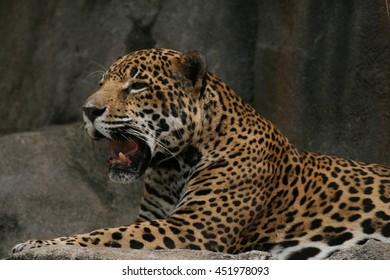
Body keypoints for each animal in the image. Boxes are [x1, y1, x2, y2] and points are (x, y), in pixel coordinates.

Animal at [10, 48, 390, 260]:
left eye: (138, 86)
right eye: (102, 83)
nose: (88, 110)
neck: (172, 166)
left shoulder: (192, 229)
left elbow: (104, 236)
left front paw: (33, 245)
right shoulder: (156, 218)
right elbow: (107, 234)